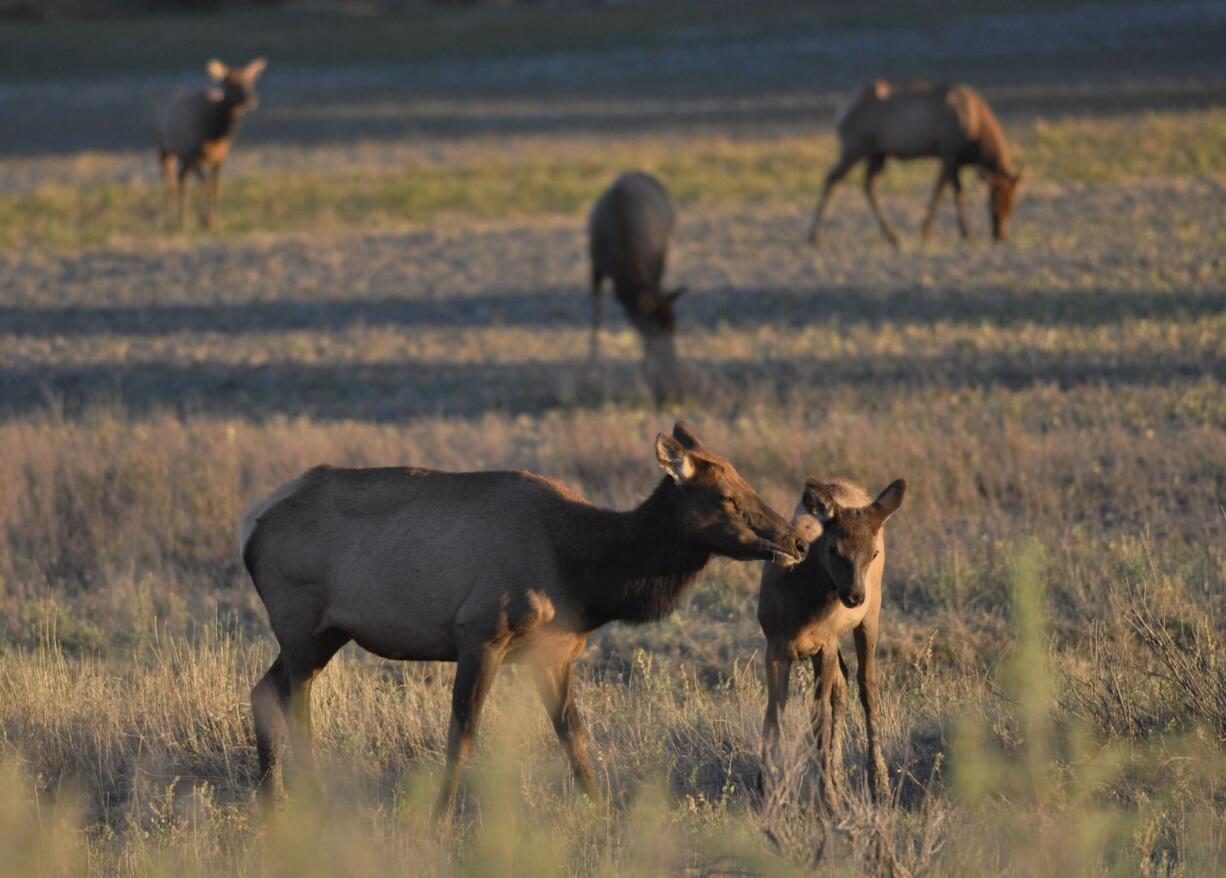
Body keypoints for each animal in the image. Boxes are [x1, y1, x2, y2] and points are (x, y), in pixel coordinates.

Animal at [154, 56, 267, 231]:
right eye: (230, 83)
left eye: (250, 81)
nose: (251, 100)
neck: (216, 133)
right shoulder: (195, 156)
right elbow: (206, 184)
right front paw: (207, 219)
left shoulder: (219, 159)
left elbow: (215, 186)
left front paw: (215, 220)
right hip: (165, 149)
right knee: (169, 182)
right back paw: (171, 220)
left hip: (184, 156)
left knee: (181, 178)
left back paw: (182, 219)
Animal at [242, 421, 809, 819]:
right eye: (726, 497)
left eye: (746, 482)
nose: (796, 542)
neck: (588, 575)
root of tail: (250, 525)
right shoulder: (481, 634)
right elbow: (464, 733)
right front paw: (436, 818)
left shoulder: (554, 654)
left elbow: (575, 737)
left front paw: (604, 813)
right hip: (300, 624)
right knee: (295, 707)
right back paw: (313, 801)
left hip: (324, 635)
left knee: (263, 690)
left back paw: (272, 801)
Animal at [586, 171, 686, 404]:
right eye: (651, 332)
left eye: (674, 327)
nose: (670, 370)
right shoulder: (596, 265)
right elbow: (597, 319)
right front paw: (591, 374)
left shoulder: (652, 262)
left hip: (664, 250)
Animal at [750, 475, 907, 804]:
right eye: (834, 549)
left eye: (872, 553)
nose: (854, 595)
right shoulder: (775, 645)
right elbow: (774, 714)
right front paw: (765, 790)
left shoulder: (825, 644)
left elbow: (818, 720)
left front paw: (828, 799)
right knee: (843, 683)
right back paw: (841, 776)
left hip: (870, 615)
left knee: (866, 684)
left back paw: (878, 782)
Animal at [804, 80, 1024, 245]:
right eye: (994, 204)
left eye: (1013, 205)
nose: (1000, 236)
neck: (977, 130)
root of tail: (842, 112)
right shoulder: (950, 154)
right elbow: (957, 192)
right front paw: (965, 232)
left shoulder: (945, 159)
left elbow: (938, 191)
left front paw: (926, 230)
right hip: (854, 147)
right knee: (833, 177)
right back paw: (814, 235)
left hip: (878, 153)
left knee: (869, 185)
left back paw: (892, 235)